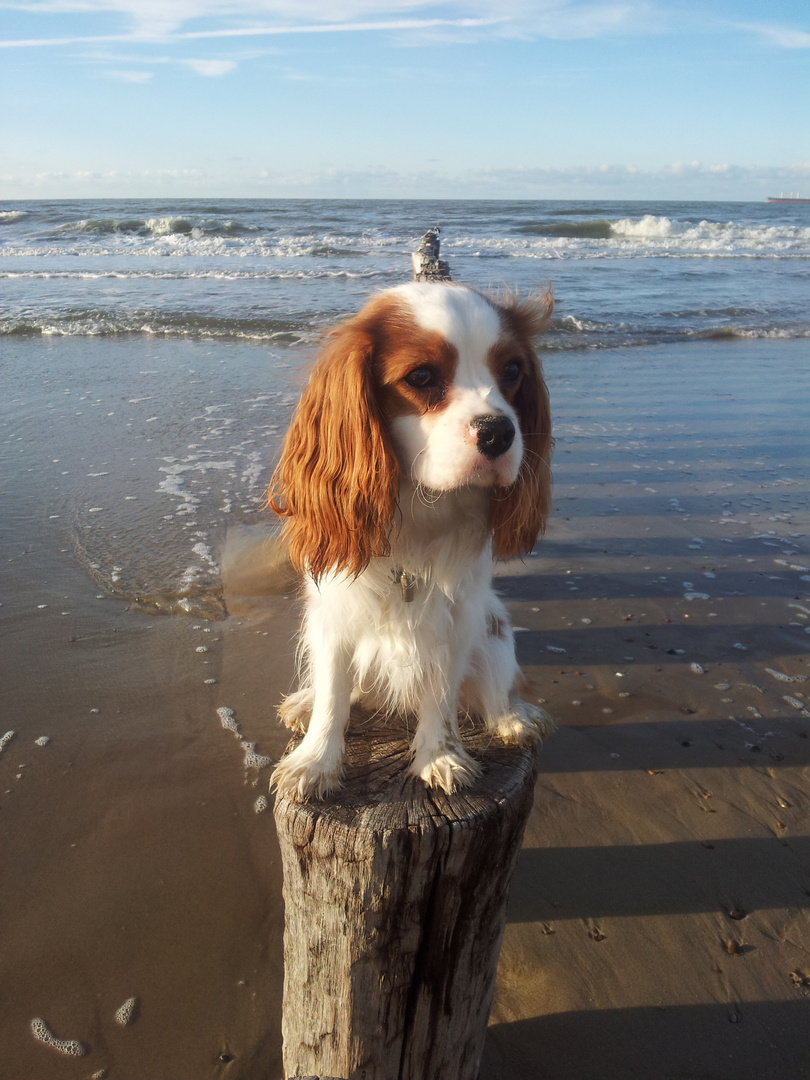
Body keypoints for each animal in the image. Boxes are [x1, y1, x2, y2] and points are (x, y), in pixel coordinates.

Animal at [270, 280, 557, 803]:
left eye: (512, 371)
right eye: (421, 376)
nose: (500, 431)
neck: (421, 507)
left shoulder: (458, 619)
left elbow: (441, 695)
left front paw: (438, 756)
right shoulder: (334, 615)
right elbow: (333, 694)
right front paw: (316, 763)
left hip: (494, 629)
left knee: (496, 683)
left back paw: (511, 717)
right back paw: (304, 703)